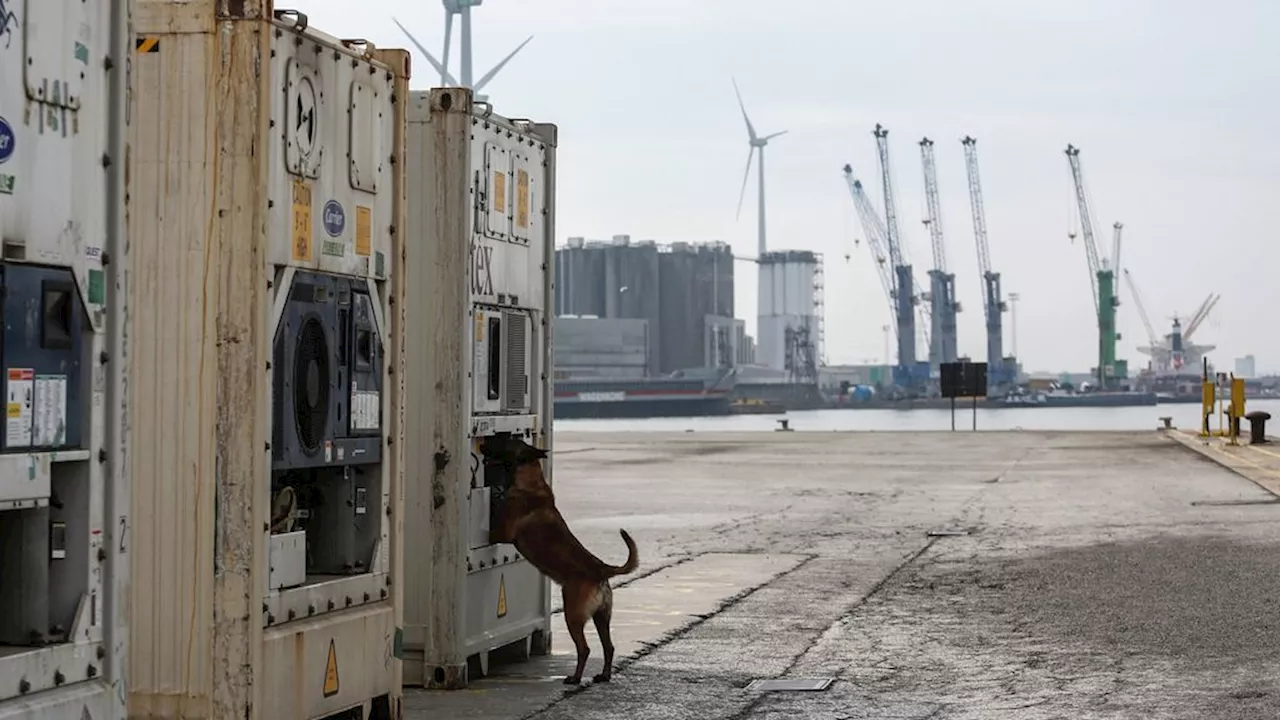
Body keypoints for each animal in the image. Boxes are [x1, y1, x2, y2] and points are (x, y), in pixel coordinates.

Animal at [481, 435, 640, 681]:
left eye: (505, 441)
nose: (484, 444)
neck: (531, 479)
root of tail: (601, 569)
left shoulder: (501, 533)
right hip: (602, 618)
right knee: (609, 646)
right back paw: (603, 675)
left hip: (572, 615)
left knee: (585, 648)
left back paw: (575, 678)